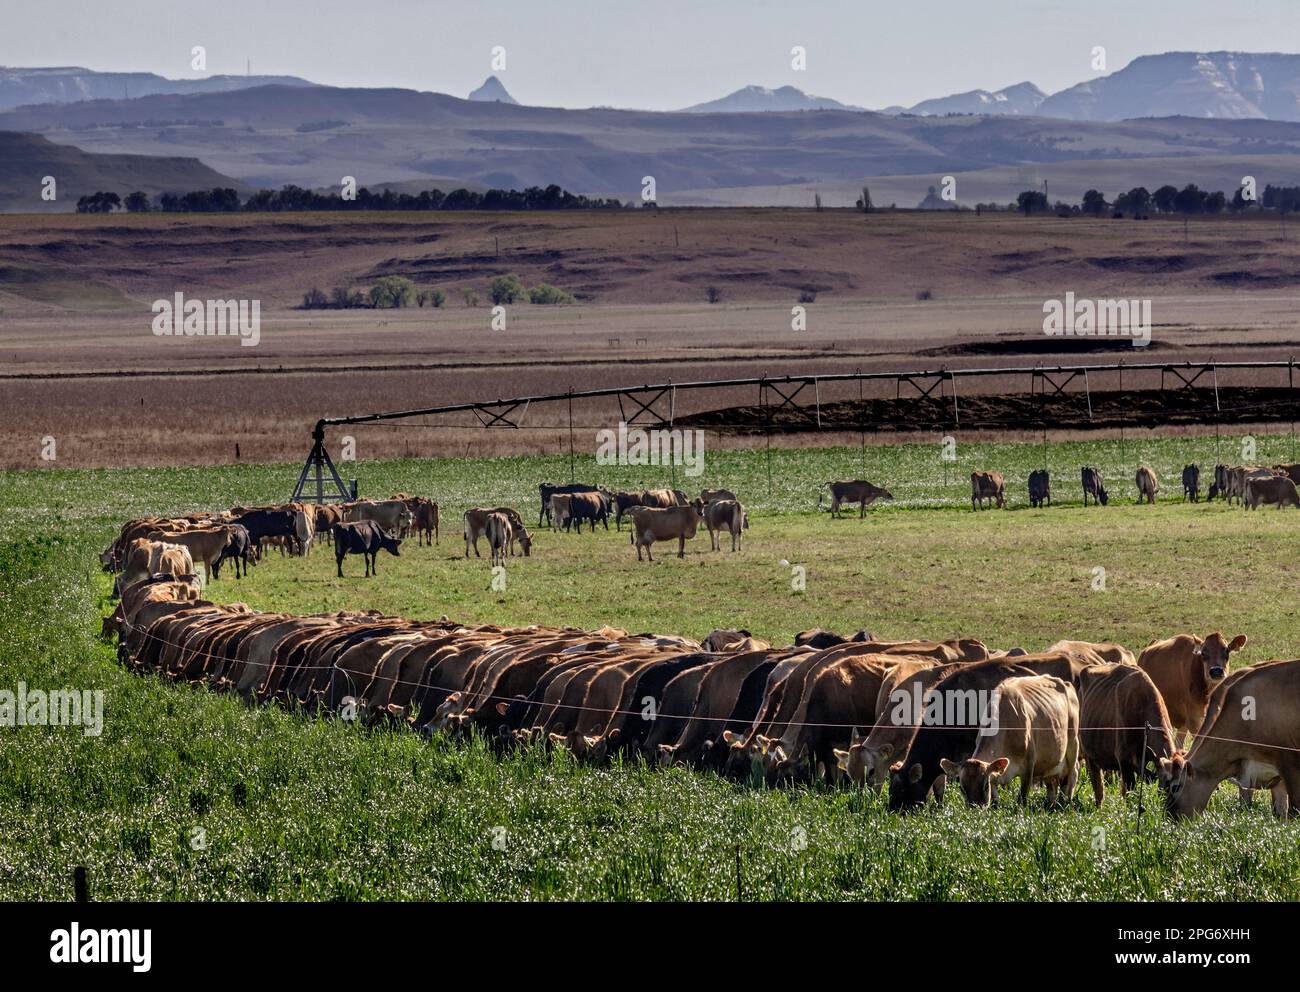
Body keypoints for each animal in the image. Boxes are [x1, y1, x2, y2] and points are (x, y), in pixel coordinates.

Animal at [941, 676, 1081, 806]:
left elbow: (1022, 797)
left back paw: (1067, 800)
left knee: (1073, 772)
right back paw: (1051, 802)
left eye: (985, 785)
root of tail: (1064, 682)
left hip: (1073, 743)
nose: (976, 808)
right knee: (1051, 782)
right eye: (962, 788)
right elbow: (995, 801)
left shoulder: (1029, 764)